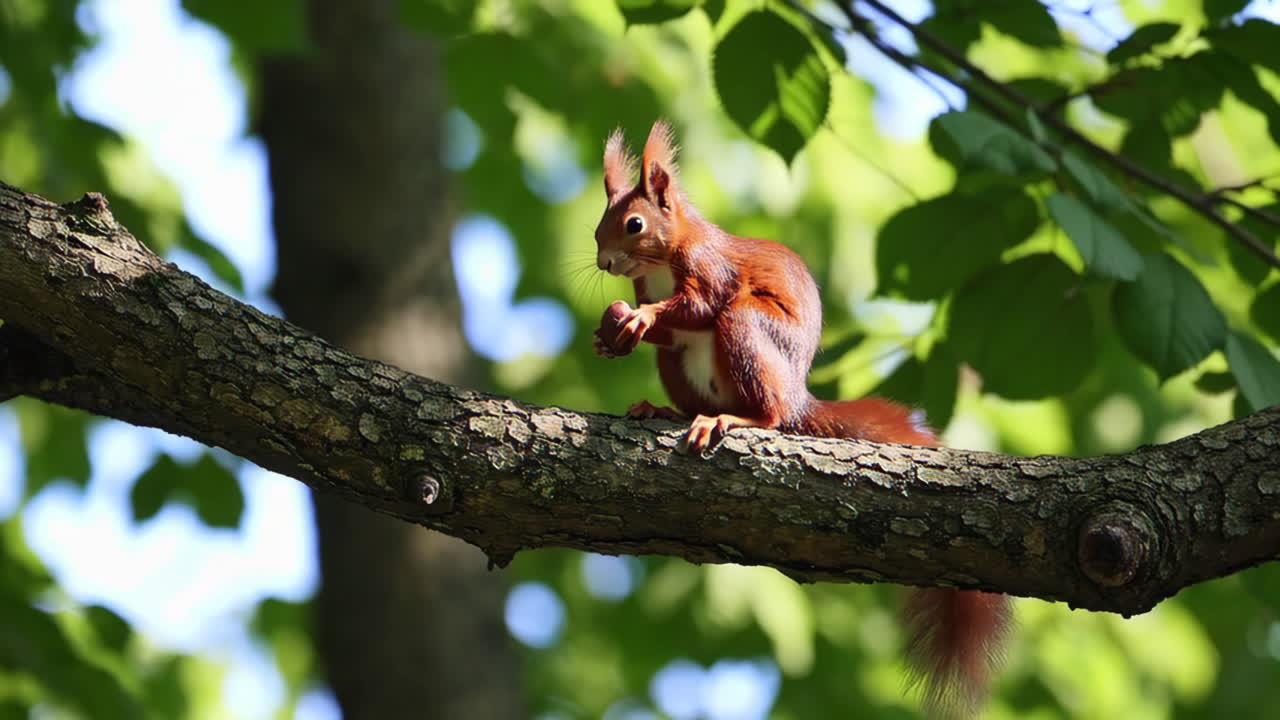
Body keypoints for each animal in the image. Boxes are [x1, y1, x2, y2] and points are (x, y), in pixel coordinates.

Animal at [592, 120, 1011, 718]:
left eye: (634, 224)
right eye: (598, 226)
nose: (604, 262)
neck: (660, 263)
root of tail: (797, 397)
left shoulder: (710, 269)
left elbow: (698, 306)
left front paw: (641, 317)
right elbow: (670, 329)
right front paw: (614, 337)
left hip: (748, 332)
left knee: (765, 409)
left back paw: (733, 421)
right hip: (677, 366)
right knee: (688, 381)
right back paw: (668, 410)